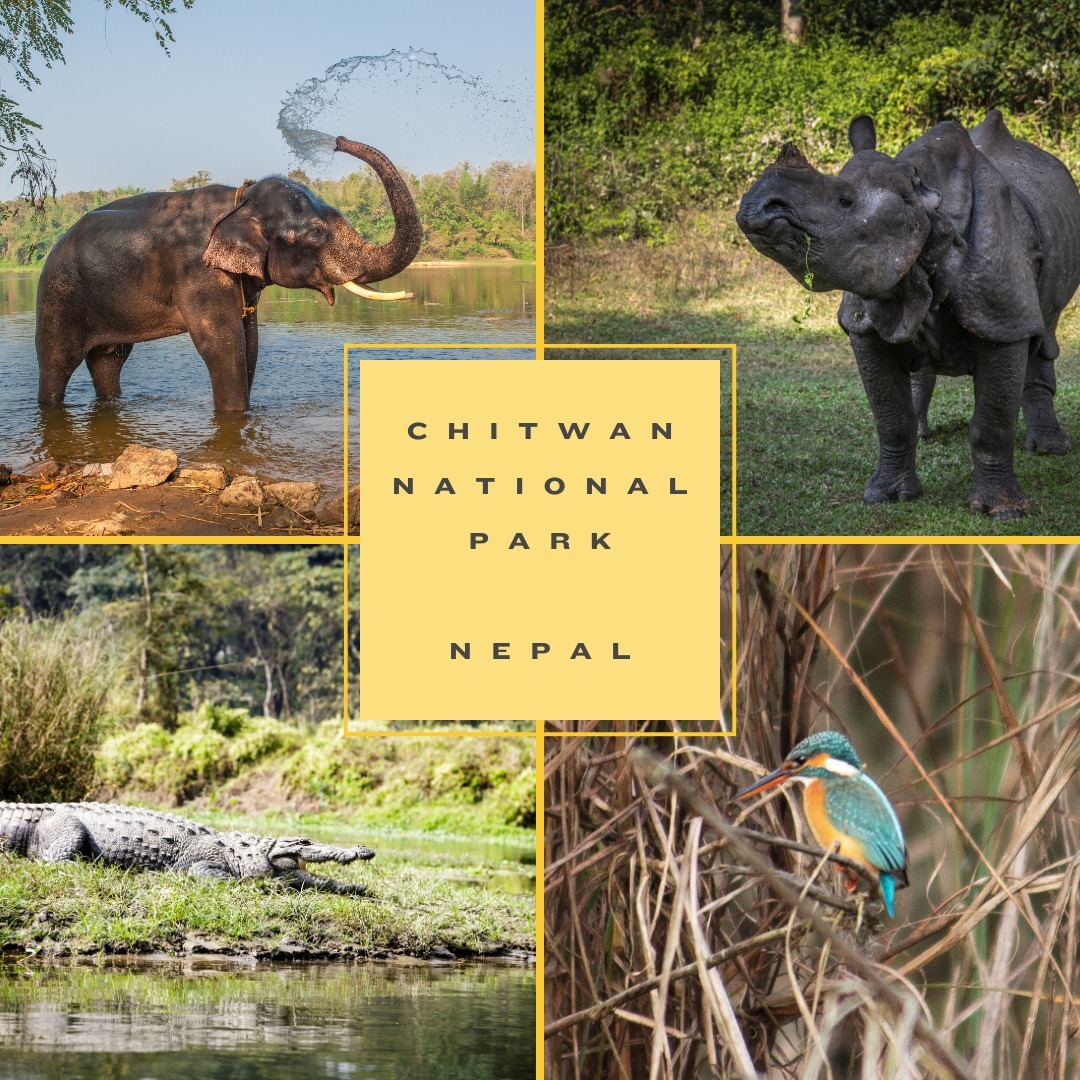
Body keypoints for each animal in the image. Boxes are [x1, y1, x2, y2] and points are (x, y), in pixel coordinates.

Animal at [737, 111, 1080, 519]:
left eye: (844, 201)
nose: (756, 207)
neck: (929, 213)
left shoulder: (1003, 316)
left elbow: (992, 422)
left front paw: (1002, 511)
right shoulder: (864, 321)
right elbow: (890, 416)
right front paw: (885, 495)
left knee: (1044, 329)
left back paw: (1051, 450)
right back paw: (923, 432)